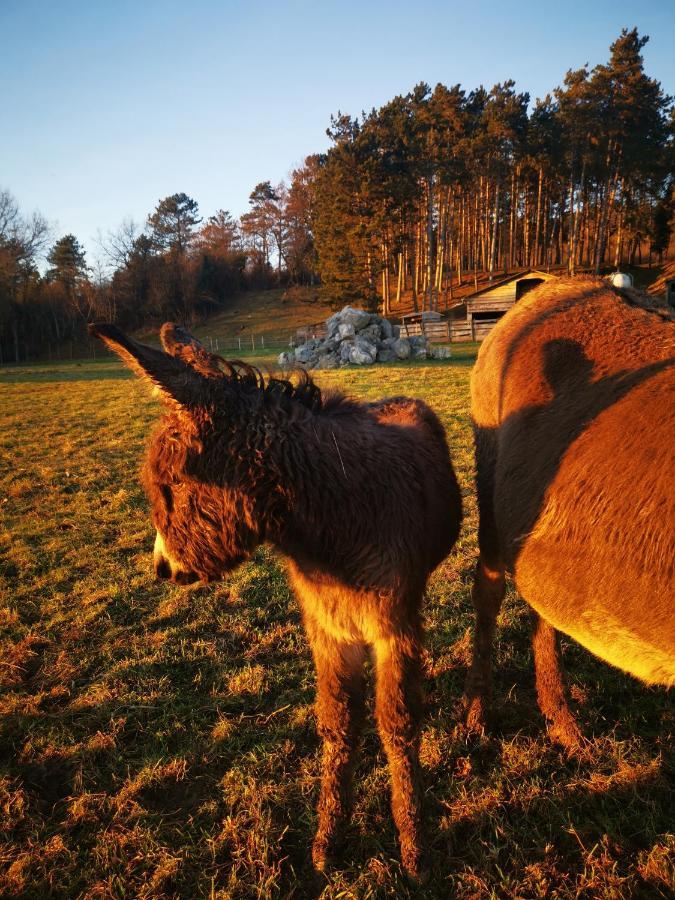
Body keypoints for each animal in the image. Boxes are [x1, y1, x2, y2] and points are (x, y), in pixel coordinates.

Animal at [92, 326, 462, 880]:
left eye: (169, 486)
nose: (160, 568)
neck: (332, 524)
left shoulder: (392, 630)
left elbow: (396, 726)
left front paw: (413, 846)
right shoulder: (328, 631)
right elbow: (337, 725)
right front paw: (329, 840)